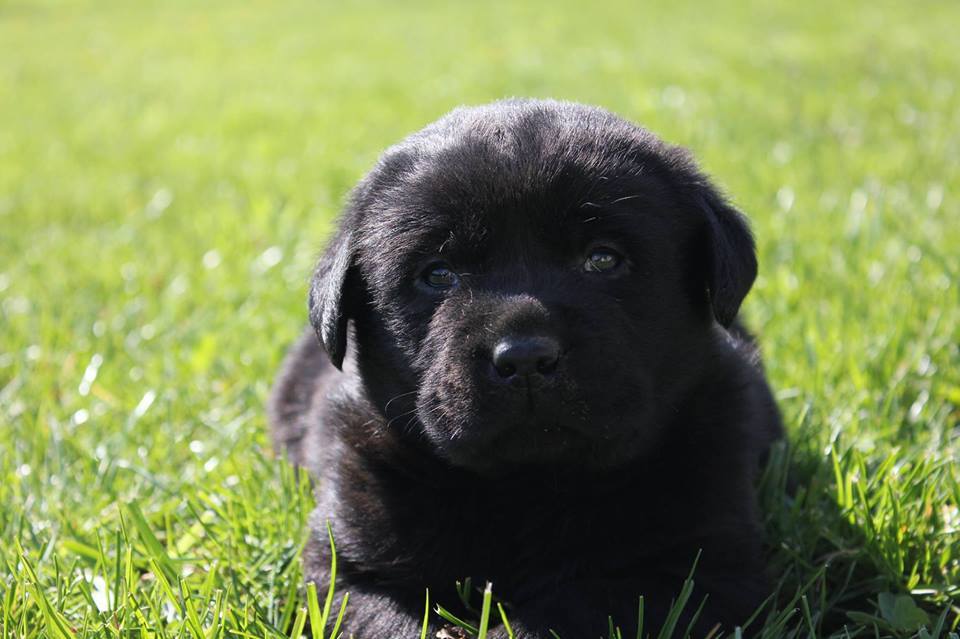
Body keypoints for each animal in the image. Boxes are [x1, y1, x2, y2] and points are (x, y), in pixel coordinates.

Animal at [268, 97, 780, 636]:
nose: (525, 357)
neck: (528, 485)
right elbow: (385, 620)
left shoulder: (700, 572)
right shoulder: (350, 567)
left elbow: (569, 610)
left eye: (602, 259)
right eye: (438, 274)